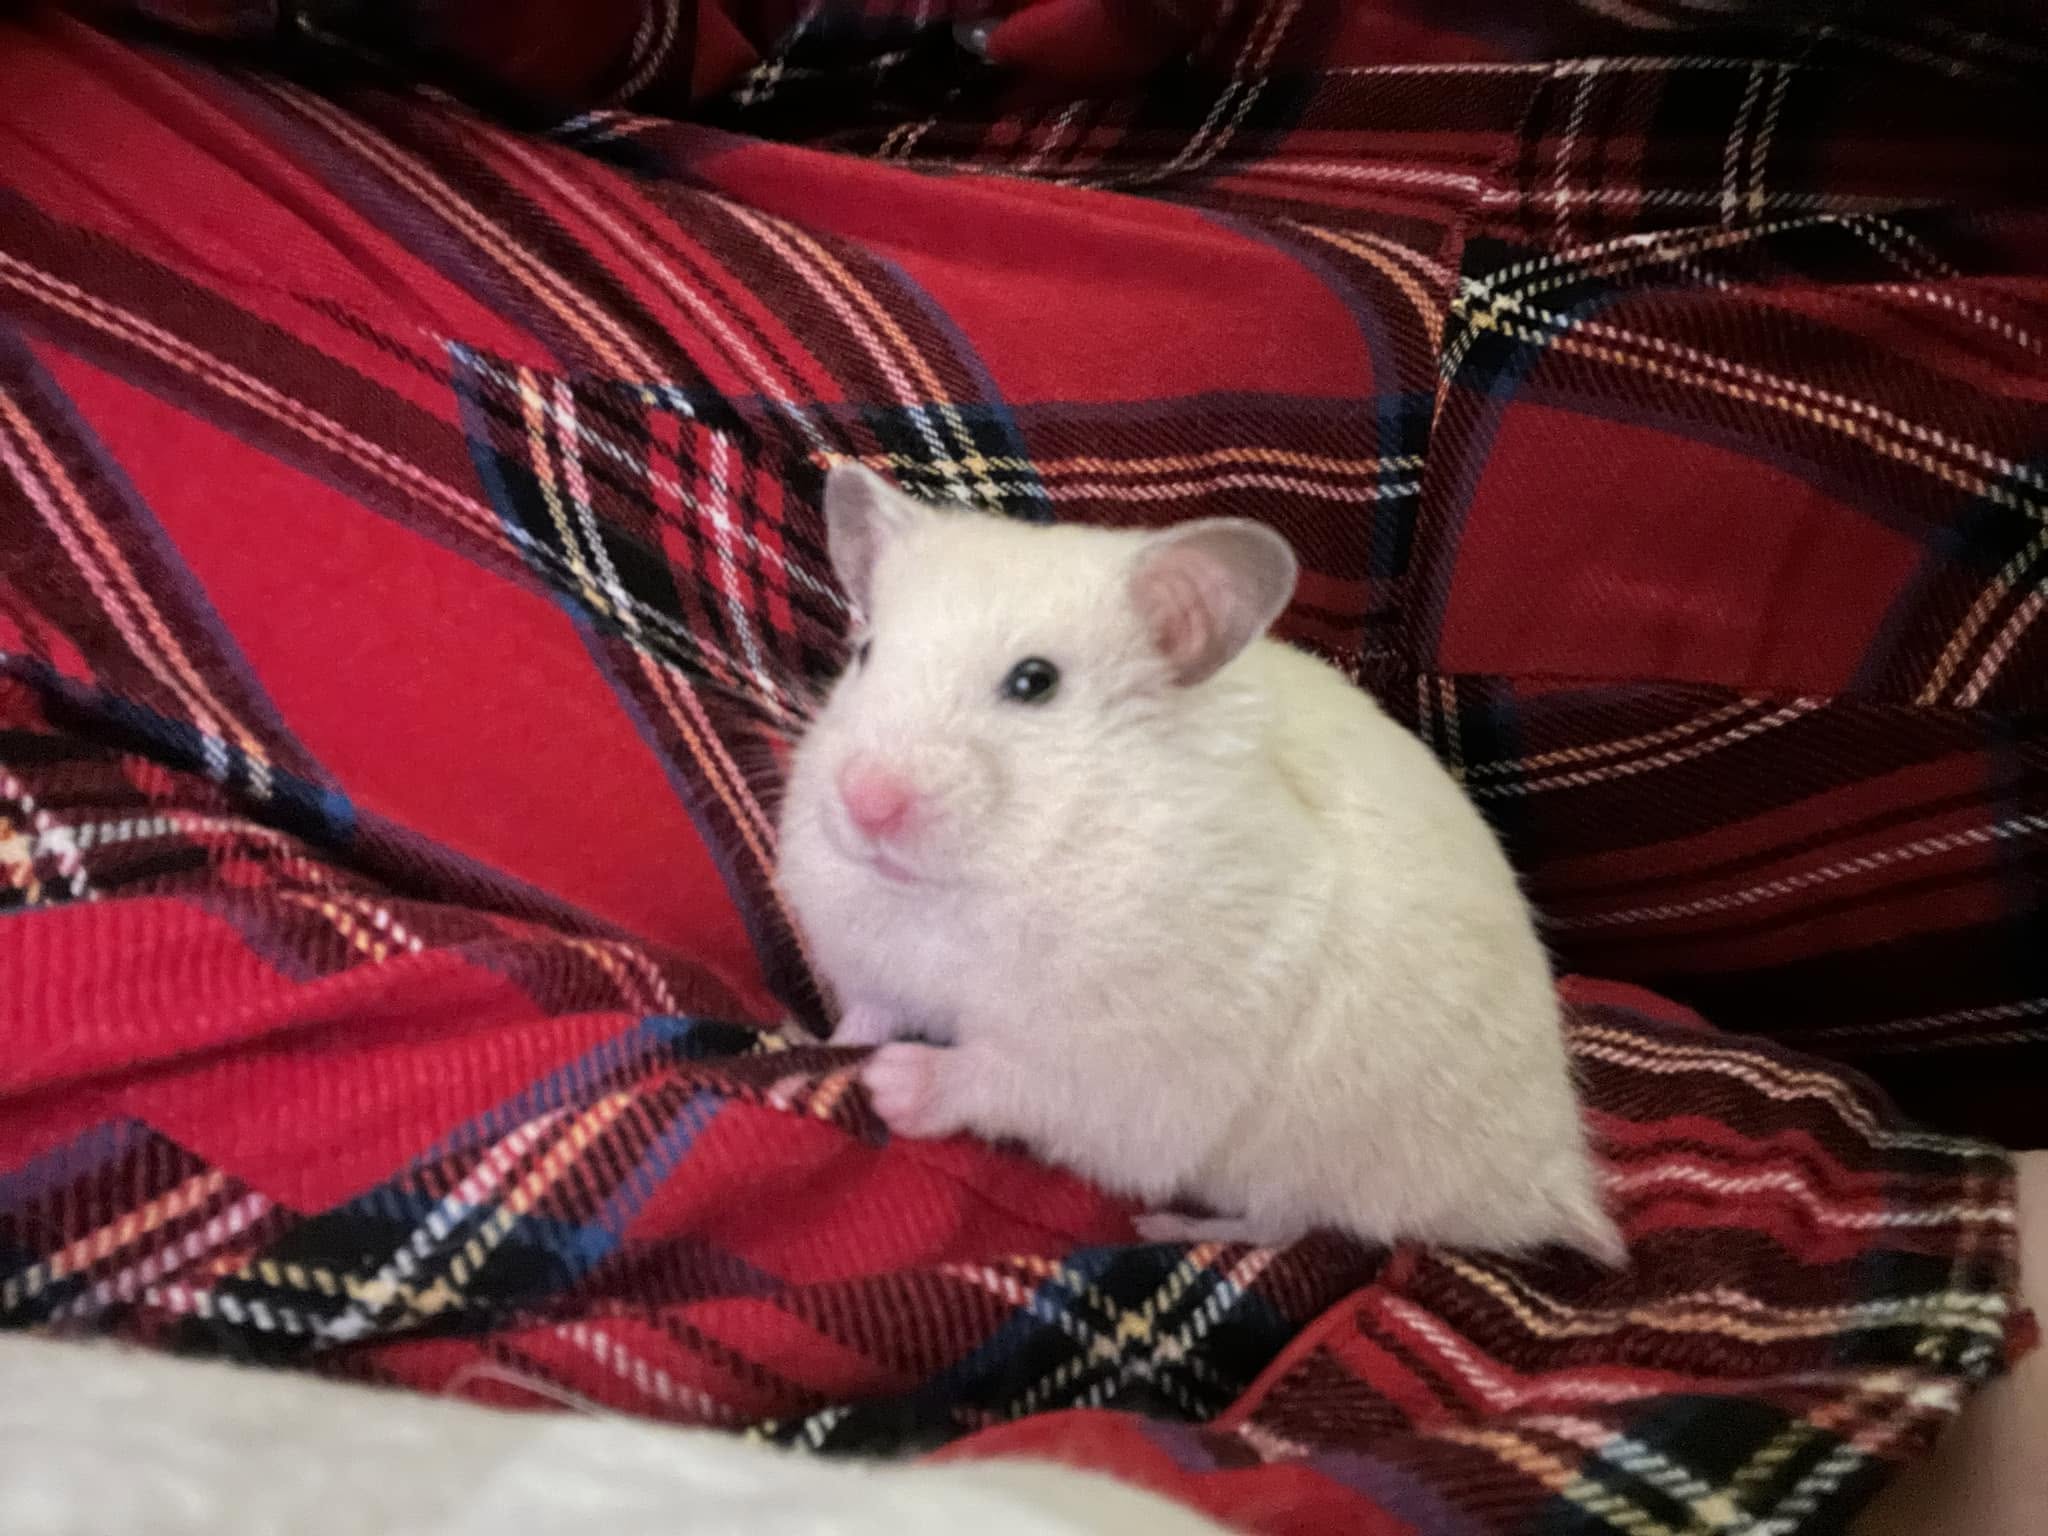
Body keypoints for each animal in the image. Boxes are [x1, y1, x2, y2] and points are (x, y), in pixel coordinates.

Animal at [775, 464, 1622, 1262]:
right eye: (865, 654)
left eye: (1034, 682)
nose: (865, 801)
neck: (982, 880)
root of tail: (1550, 1176)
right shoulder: (877, 970)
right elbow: (866, 1014)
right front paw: (804, 1048)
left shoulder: (1119, 1063)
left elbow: (999, 1077)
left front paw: (891, 1082)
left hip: (1307, 1156)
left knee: (1285, 1226)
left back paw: (1169, 1225)